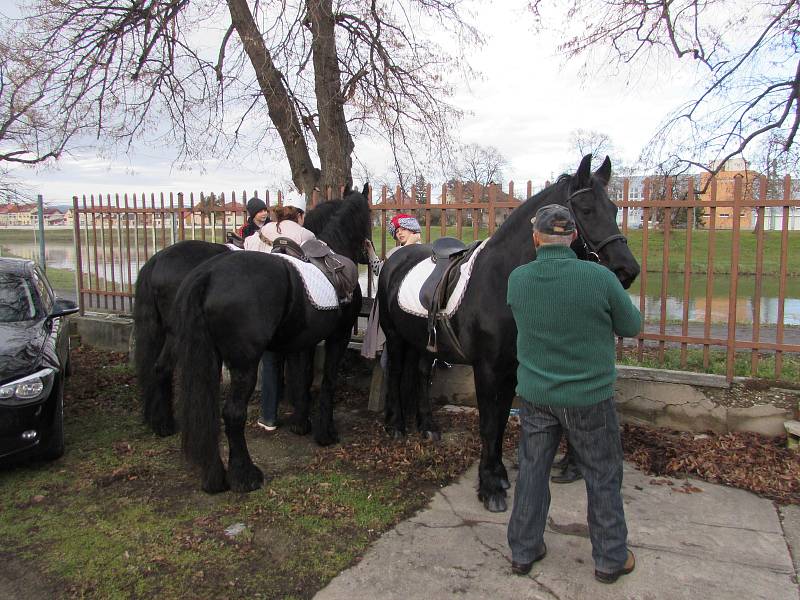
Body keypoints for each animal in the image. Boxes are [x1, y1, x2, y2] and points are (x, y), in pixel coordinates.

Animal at [172, 189, 372, 492]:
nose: (368, 253)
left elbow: (302, 379)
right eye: (369, 216)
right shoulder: (338, 336)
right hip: (244, 366)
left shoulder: (304, 342)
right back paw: (245, 475)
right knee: (232, 414)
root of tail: (208, 275)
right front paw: (325, 433)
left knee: (205, 414)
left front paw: (301, 424)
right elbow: (327, 381)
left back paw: (215, 477)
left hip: (209, 361)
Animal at [378, 155, 640, 510]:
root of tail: (396, 258)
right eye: (586, 210)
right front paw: (490, 486)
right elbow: (489, 424)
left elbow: (501, 420)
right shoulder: (487, 368)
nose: (628, 270)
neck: (500, 279)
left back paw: (428, 427)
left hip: (422, 342)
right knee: (394, 373)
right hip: (394, 336)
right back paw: (395, 427)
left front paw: (498, 474)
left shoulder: (511, 367)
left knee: (419, 375)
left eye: (613, 209)